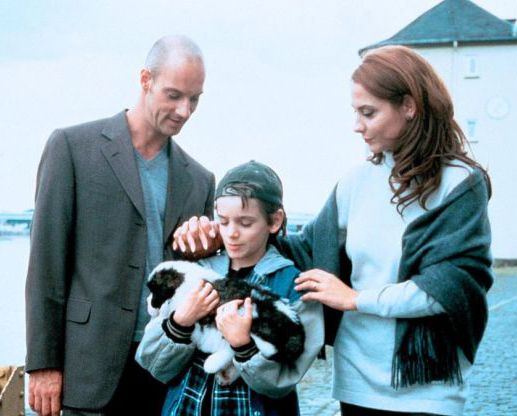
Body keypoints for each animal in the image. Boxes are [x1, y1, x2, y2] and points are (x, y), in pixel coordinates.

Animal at [146, 260, 305, 385]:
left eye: (154, 291)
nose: (147, 302)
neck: (183, 282)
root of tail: (296, 329)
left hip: (252, 318)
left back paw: (212, 364)